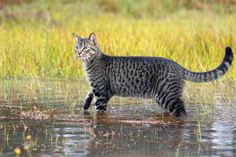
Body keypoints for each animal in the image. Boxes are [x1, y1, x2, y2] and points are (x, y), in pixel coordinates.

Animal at [73, 32, 233, 118]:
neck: (90, 63)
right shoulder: (96, 88)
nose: (79, 53)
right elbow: (88, 94)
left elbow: (99, 111)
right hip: (163, 98)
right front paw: (85, 105)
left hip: (168, 95)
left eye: (86, 48)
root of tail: (178, 65)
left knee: (182, 111)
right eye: (76, 47)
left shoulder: (102, 93)